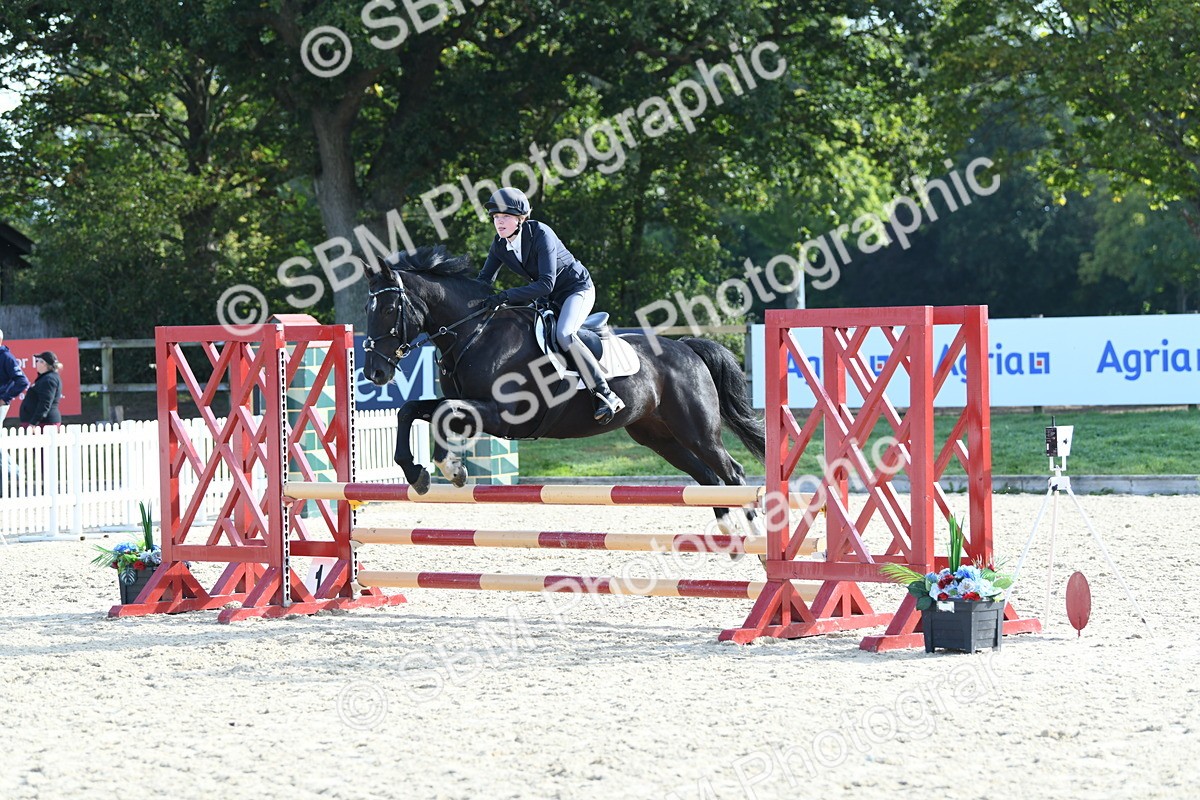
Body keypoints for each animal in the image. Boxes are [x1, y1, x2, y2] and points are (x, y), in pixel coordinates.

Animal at [362, 246, 767, 535]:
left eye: (389, 309)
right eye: (369, 309)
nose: (374, 372)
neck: (475, 332)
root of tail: (686, 347)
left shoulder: (503, 415)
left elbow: (444, 412)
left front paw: (451, 468)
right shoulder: (473, 406)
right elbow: (412, 409)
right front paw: (417, 472)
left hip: (697, 431)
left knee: (732, 473)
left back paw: (757, 536)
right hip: (658, 437)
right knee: (708, 478)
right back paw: (729, 534)